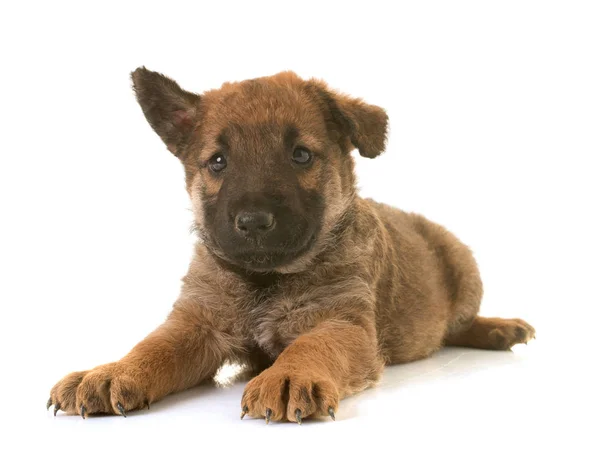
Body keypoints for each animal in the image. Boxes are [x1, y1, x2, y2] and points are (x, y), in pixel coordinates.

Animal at [48, 67, 536, 422]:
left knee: (458, 324)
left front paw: (288, 376)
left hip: (464, 266)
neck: (265, 279)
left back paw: (499, 328)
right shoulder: (196, 322)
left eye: (301, 155)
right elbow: (153, 346)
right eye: (218, 162)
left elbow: (311, 346)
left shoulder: (344, 323)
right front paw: (112, 371)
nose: (253, 222)